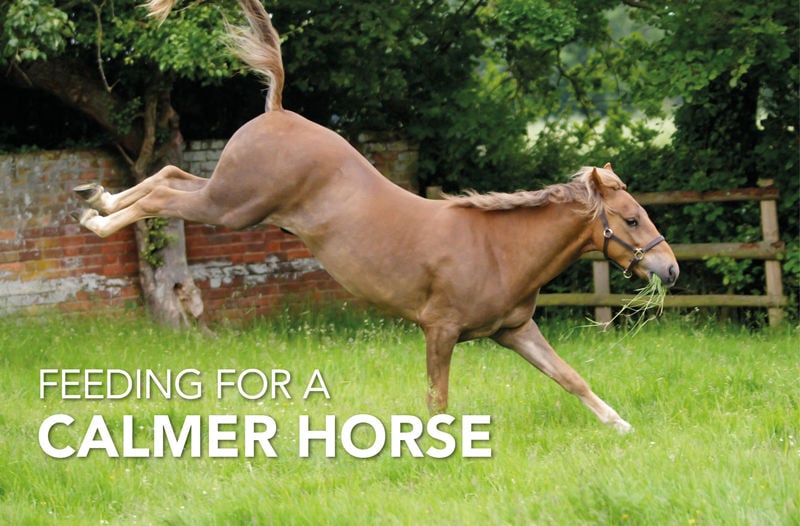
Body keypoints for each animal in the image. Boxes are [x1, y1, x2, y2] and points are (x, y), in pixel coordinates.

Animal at [75, 0, 680, 436]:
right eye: (631, 220)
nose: (671, 269)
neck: (499, 249)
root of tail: (277, 109)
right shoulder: (440, 330)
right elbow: (437, 401)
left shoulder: (515, 332)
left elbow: (571, 379)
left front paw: (621, 426)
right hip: (232, 207)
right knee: (162, 194)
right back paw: (97, 216)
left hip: (230, 199)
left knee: (170, 172)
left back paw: (96, 199)